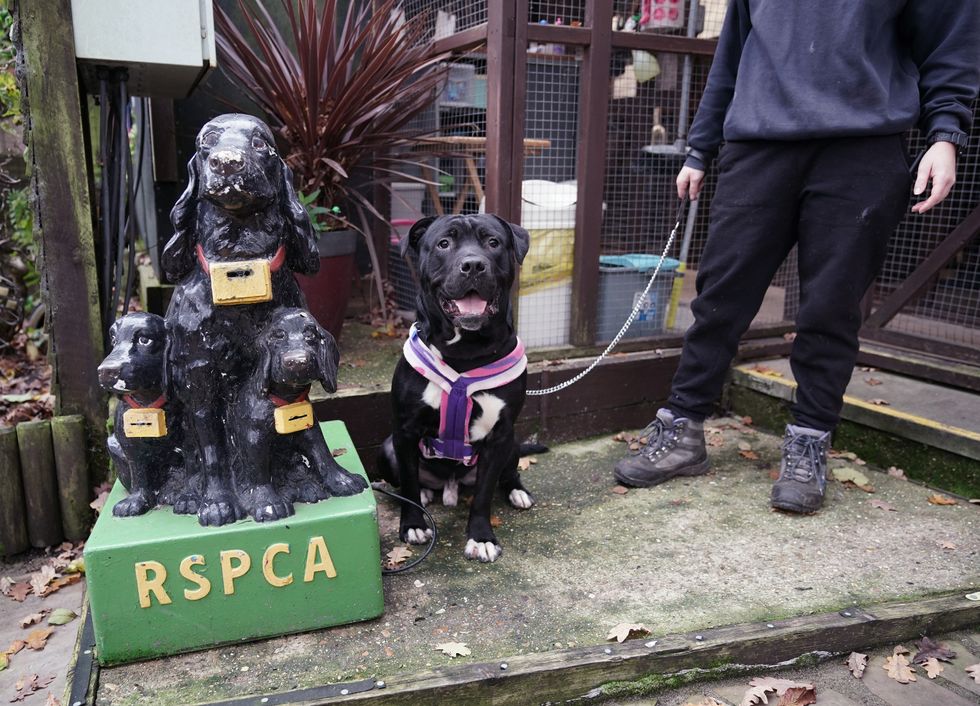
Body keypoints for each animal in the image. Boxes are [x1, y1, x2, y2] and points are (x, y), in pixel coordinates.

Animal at [98, 314, 190, 516]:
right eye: (113, 339)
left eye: (144, 340)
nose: (106, 371)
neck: (148, 406)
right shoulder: (129, 446)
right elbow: (139, 473)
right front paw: (135, 501)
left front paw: (181, 495)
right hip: (112, 444)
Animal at [163, 114, 318, 524]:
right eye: (206, 144)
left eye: (260, 143)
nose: (227, 162)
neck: (240, 268)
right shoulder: (200, 377)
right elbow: (213, 450)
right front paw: (217, 503)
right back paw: (188, 496)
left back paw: (303, 484)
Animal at [230, 306, 368, 520]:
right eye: (278, 335)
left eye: (310, 334)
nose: (297, 362)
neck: (286, 401)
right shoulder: (252, 435)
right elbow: (258, 471)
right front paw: (268, 503)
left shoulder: (310, 428)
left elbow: (322, 454)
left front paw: (342, 480)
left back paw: (306, 487)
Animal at [378, 213, 532, 560]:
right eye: (444, 243)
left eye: (493, 242)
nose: (473, 265)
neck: (465, 351)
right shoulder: (404, 431)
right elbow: (409, 483)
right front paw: (413, 524)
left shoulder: (499, 436)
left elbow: (484, 494)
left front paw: (481, 537)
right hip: (387, 449)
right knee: (407, 481)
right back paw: (424, 493)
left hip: (513, 444)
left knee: (508, 474)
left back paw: (518, 492)